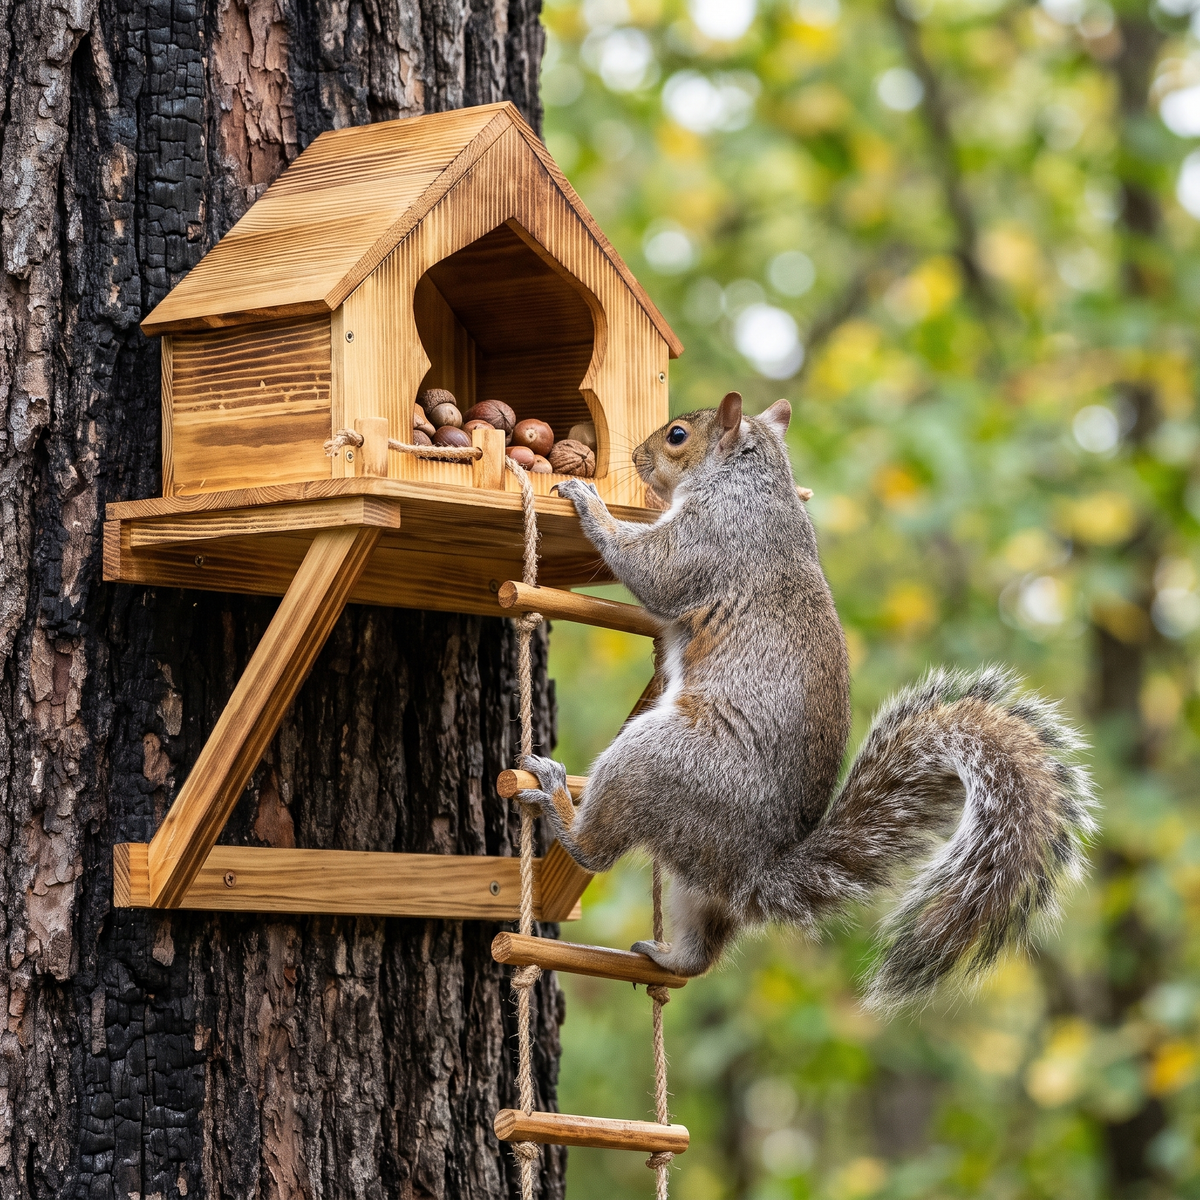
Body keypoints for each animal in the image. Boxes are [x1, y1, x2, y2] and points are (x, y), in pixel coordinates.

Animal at [521, 391, 1097, 1009]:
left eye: (677, 435)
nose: (634, 458)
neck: (748, 479)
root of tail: (751, 871)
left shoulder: (711, 538)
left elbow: (652, 573)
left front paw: (590, 503)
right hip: (692, 877)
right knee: (701, 948)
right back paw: (666, 955)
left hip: (658, 758)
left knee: (597, 851)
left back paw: (557, 800)